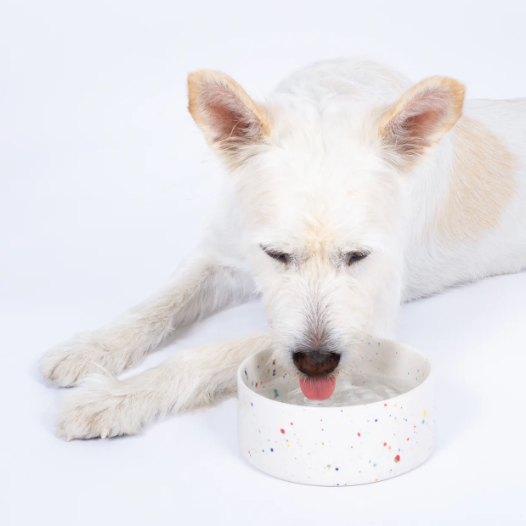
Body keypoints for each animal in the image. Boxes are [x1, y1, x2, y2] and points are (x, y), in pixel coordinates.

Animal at [41, 58, 526, 442]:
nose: (317, 363)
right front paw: (92, 348)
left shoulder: (371, 321)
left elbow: (203, 353)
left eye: (359, 256)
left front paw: (115, 397)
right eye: (275, 254)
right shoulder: (219, 256)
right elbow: (157, 305)